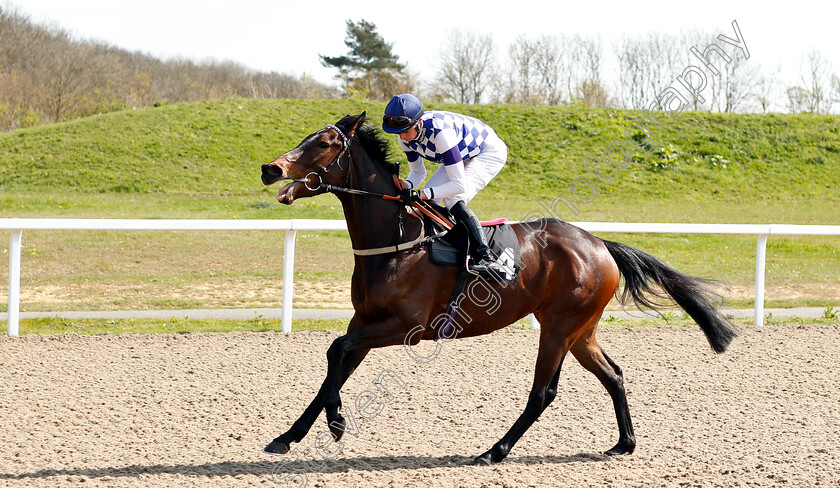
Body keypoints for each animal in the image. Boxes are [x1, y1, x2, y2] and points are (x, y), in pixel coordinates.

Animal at [260, 111, 740, 466]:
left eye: (324, 143)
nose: (270, 168)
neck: (397, 240)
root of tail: (600, 244)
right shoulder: (366, 319)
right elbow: (335, 363)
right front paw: (290, 435)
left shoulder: (406, 327)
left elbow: (336, 351)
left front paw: (335, 423)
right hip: (580, 329)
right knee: (613, 375)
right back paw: (624, 443)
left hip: (560, 326)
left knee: (544, 392)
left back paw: (495, 450)